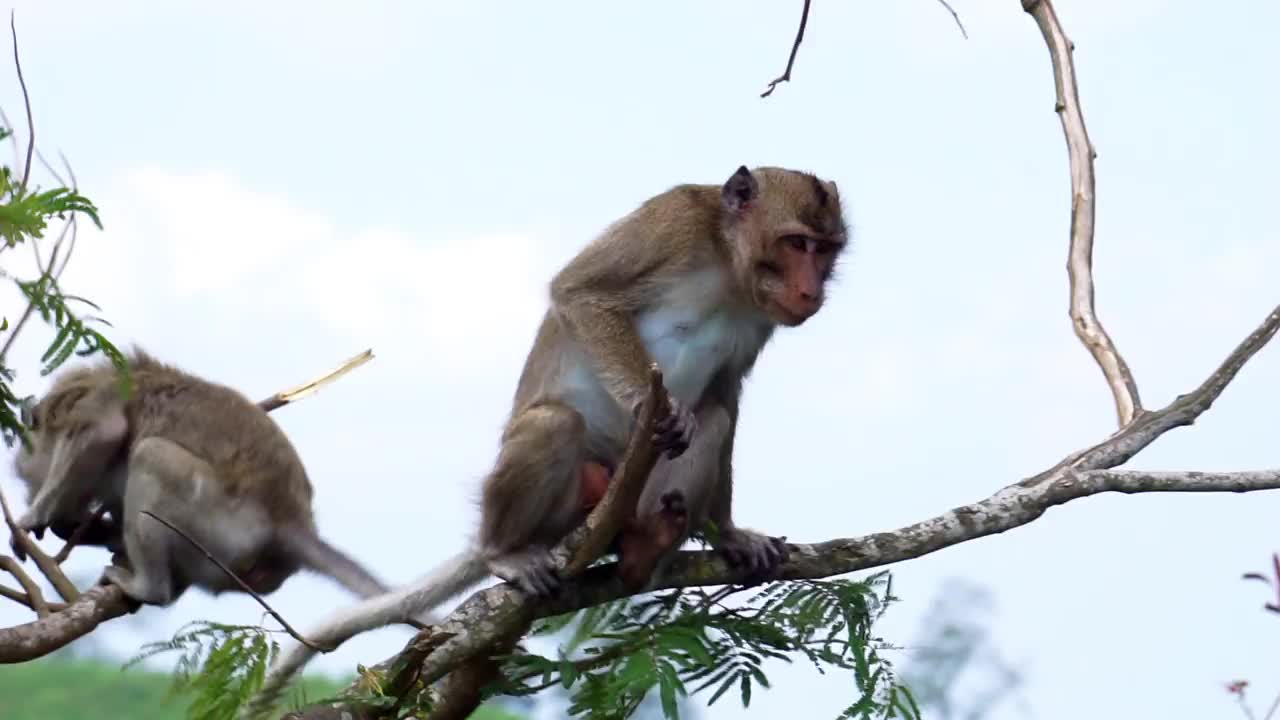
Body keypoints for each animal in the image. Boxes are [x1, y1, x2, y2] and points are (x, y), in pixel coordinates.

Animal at [10, 348, 389, 604]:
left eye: (27, 480)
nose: (30, 494)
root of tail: (291, 524)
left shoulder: (91, 399)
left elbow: (106, 431)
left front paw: (34, 518)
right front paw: (78, 527)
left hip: (220, 525)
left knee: (152, 455)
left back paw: (150, 588)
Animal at [253, 162, 844, 691]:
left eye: (826, 250)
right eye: (796, 243)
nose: (813, 292)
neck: (727, 262)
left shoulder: (758, 315)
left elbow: (725, 398)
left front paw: (730, 531)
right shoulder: (669, 223)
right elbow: (580, 293)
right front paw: (647, 401)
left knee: (712, 422)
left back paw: (647, 546)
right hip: (566, 509)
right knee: (556, 424)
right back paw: (506, 552)